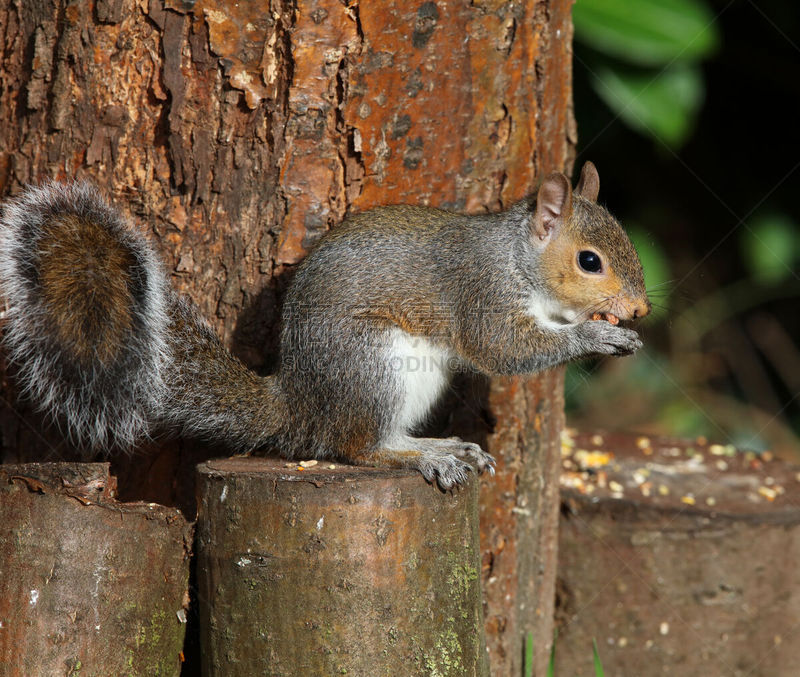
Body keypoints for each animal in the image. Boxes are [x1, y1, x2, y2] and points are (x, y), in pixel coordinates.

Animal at [0, 165, 648, 492]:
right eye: (590, 261)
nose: (641, 309)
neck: (519, 259)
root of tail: (298, 405)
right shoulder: (480, 293)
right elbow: (505, 349)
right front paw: (596, 336)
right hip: (373, 365)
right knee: (356, 449)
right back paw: (421, 458)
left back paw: (436, 445)